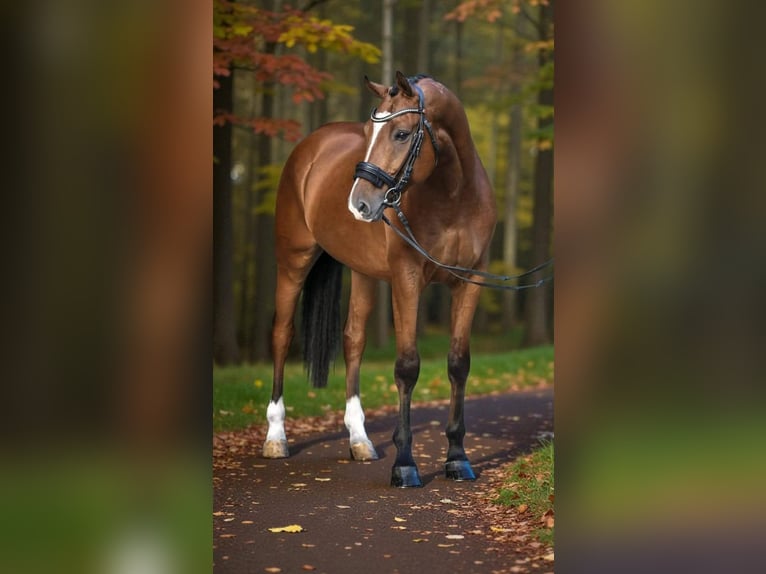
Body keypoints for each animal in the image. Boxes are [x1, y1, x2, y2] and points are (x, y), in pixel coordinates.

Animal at [262, 72, 497, 487]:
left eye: (401, 134)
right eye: (369, 132)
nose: (358, 204)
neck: (454, 197)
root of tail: (309, 147)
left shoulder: (469, 282)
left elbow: (458, 364)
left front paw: (457, 458)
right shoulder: (406, 279)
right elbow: (407, 366)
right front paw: (404, 464)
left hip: (363, 273)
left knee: (353, 339)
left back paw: (359, 441)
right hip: (293, 261)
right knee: (282, 335)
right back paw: (276, 437)